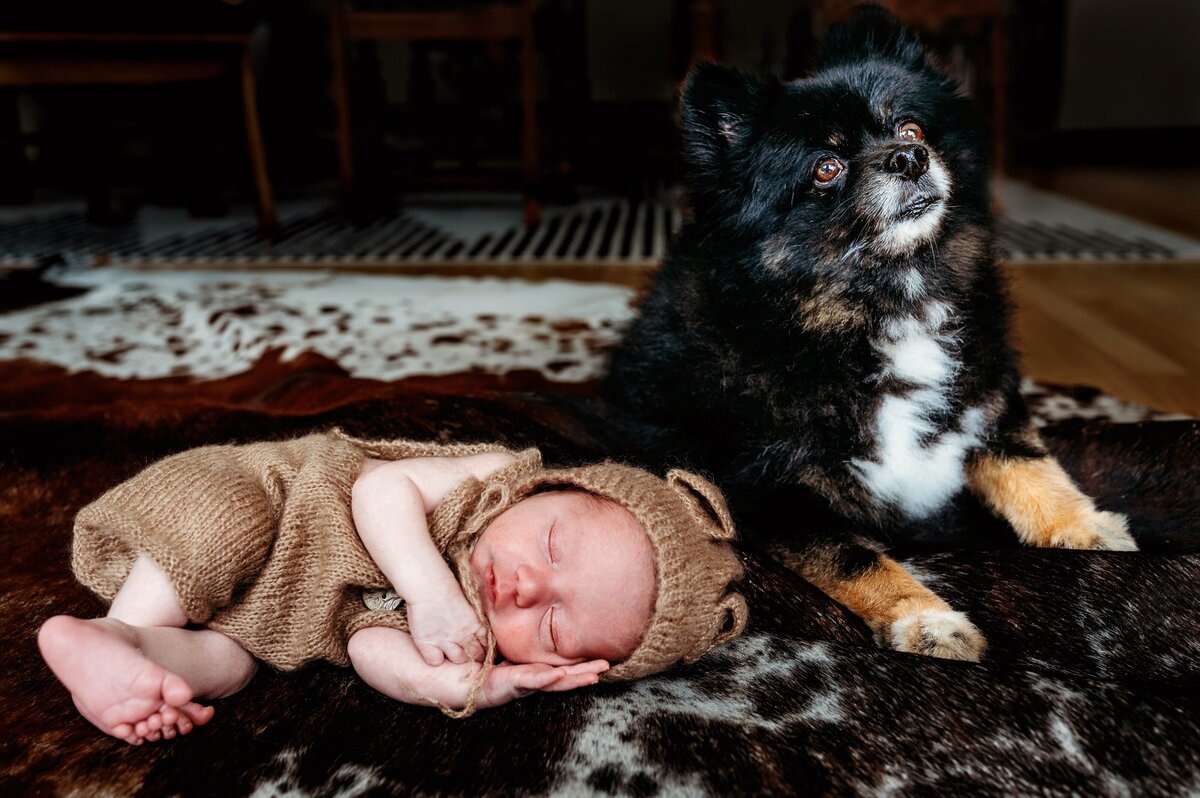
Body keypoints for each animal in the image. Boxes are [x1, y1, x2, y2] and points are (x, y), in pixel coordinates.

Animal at [609, 7, 1132, 657]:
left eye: (911, 129)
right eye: (826, 168)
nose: (909, 158)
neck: (888, 304)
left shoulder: (987, 397)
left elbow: (1029, 463)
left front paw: (1082, 526)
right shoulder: (776, 495)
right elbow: (857, 560)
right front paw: (927, 620)